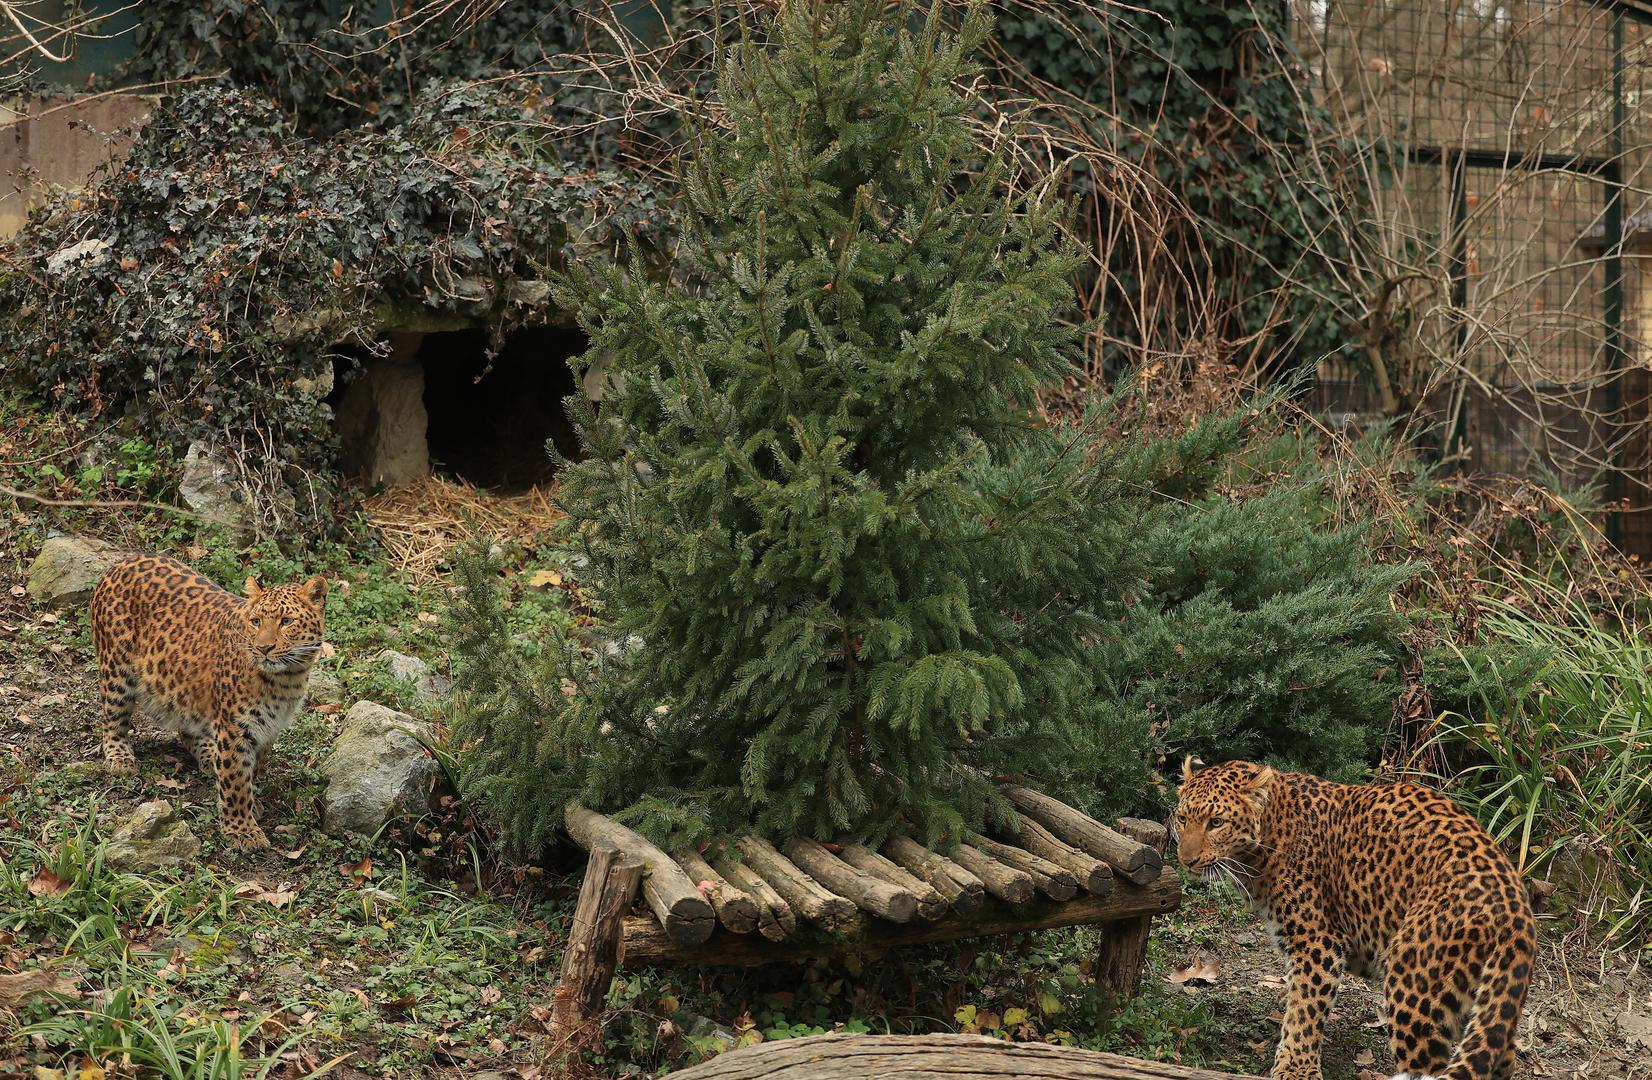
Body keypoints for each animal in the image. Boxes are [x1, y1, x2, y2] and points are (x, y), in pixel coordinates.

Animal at [90, 558, 328, 852]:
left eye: (286, 621)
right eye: (256, 621)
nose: (264, 648)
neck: (287, 678)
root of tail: (120, 563)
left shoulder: (269, 727)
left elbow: (252, 769)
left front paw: (252, 804)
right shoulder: (236, 728)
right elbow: (236, 781)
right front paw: (242, 830)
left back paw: (208, 754)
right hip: (116, 671)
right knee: (112, 720)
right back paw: (120, 757)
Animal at [1176, 762, 1533, 1080]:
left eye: (1216, 822)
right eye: (1182, 819)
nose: (1185, 860)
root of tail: (1515, 909)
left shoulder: (1318, 942)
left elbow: (1304, 1010)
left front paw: (1296, 1069)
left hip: (1414, 989)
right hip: (1485, 999)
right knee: (1496, 1054)